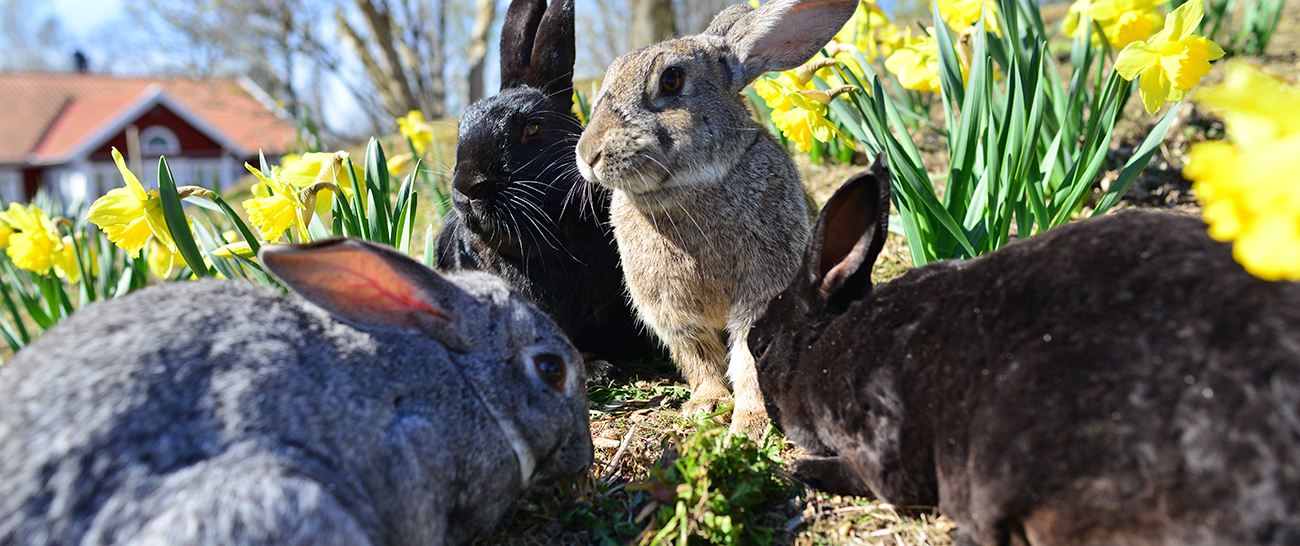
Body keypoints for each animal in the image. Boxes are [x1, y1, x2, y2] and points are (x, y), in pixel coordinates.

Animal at [574, 0, 857, 434]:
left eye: (671, 80)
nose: (588, 154)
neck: (688, 190)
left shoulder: (762, 292)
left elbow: (749, 355)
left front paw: (750, 421)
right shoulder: (670, 310)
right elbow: (698, 355)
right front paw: (705, 404)